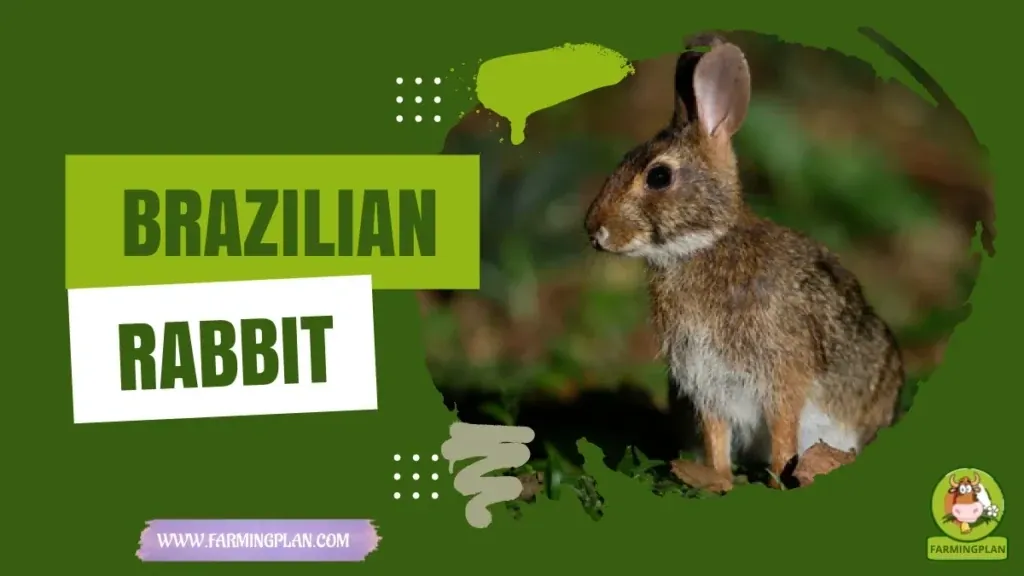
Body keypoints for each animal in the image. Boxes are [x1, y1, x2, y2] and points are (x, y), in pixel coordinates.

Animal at [584, 36, 904, 488]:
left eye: (659, 176)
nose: (594, 230)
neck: (706, 245)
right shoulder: (707, 387)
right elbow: (716, 434)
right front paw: (718, 478)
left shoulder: (782, 378)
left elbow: (783, 434)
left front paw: (774, 482)